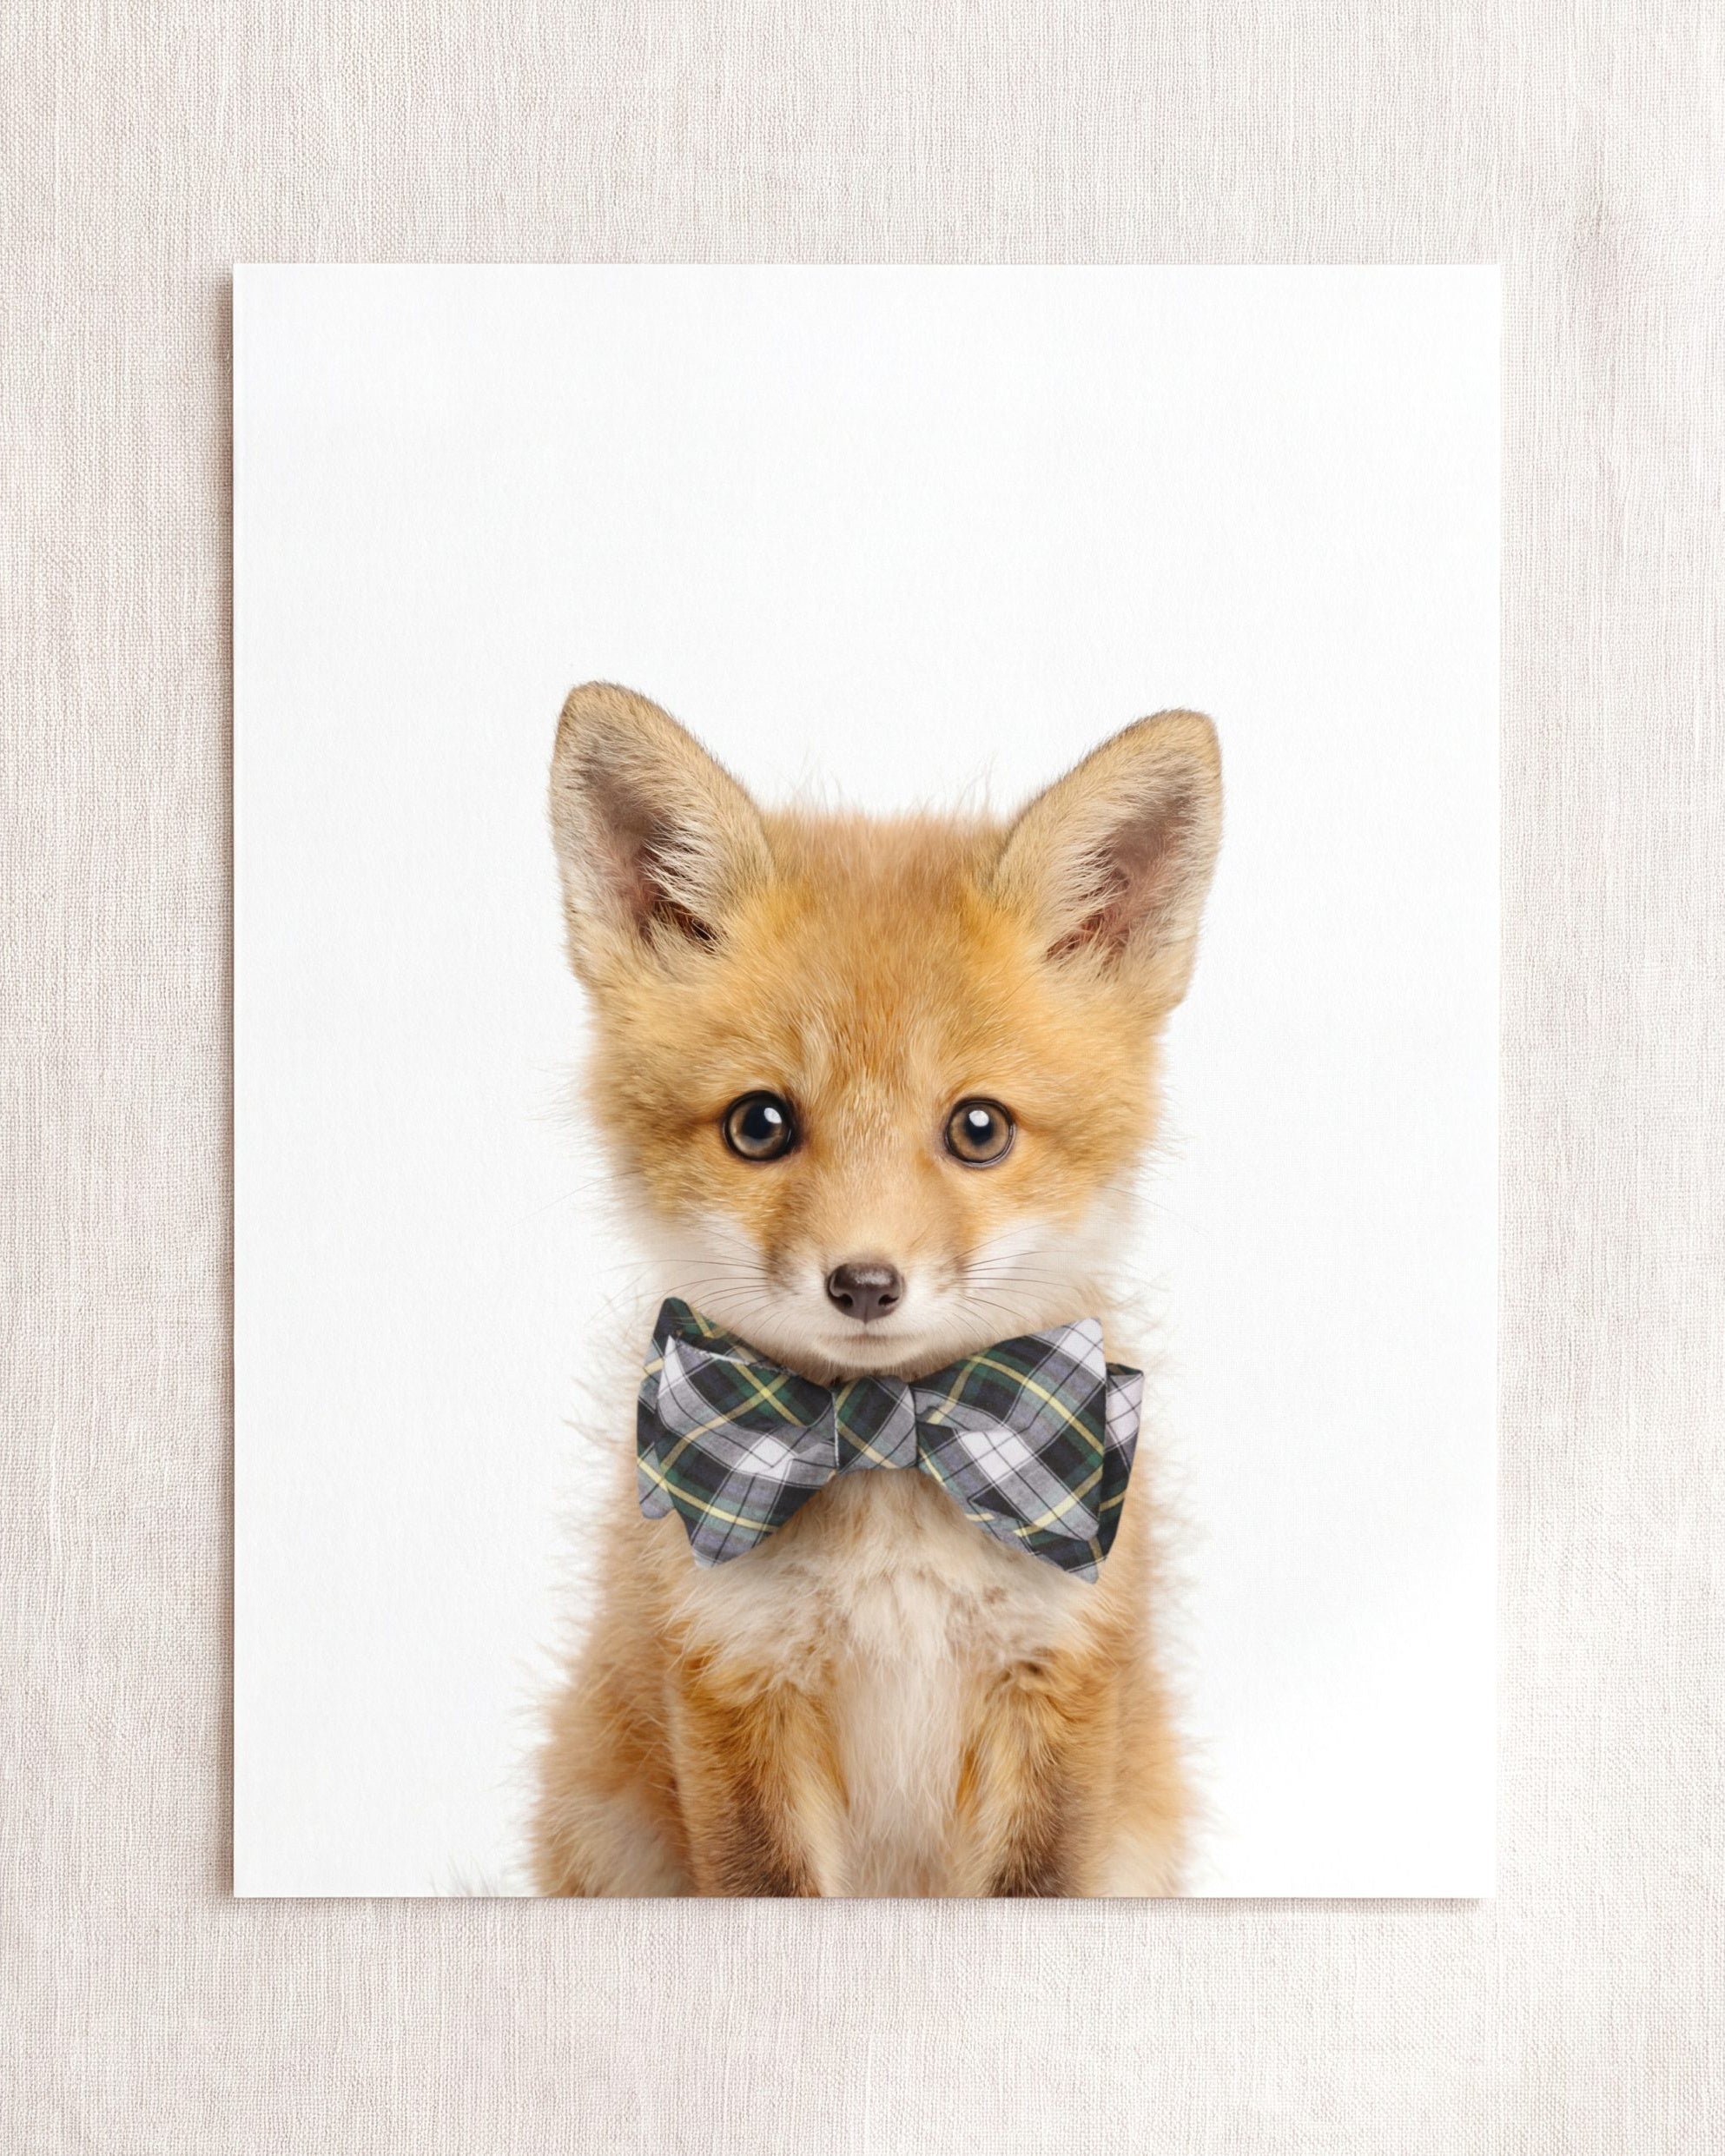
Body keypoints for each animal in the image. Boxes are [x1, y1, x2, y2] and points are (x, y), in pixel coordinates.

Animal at [529, 681, 1222, 1897]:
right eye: (760, 1124)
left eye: (979, 1129)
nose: (863, 1283)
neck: (887, 1450)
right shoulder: (734, 1677)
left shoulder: (1059, 1678)